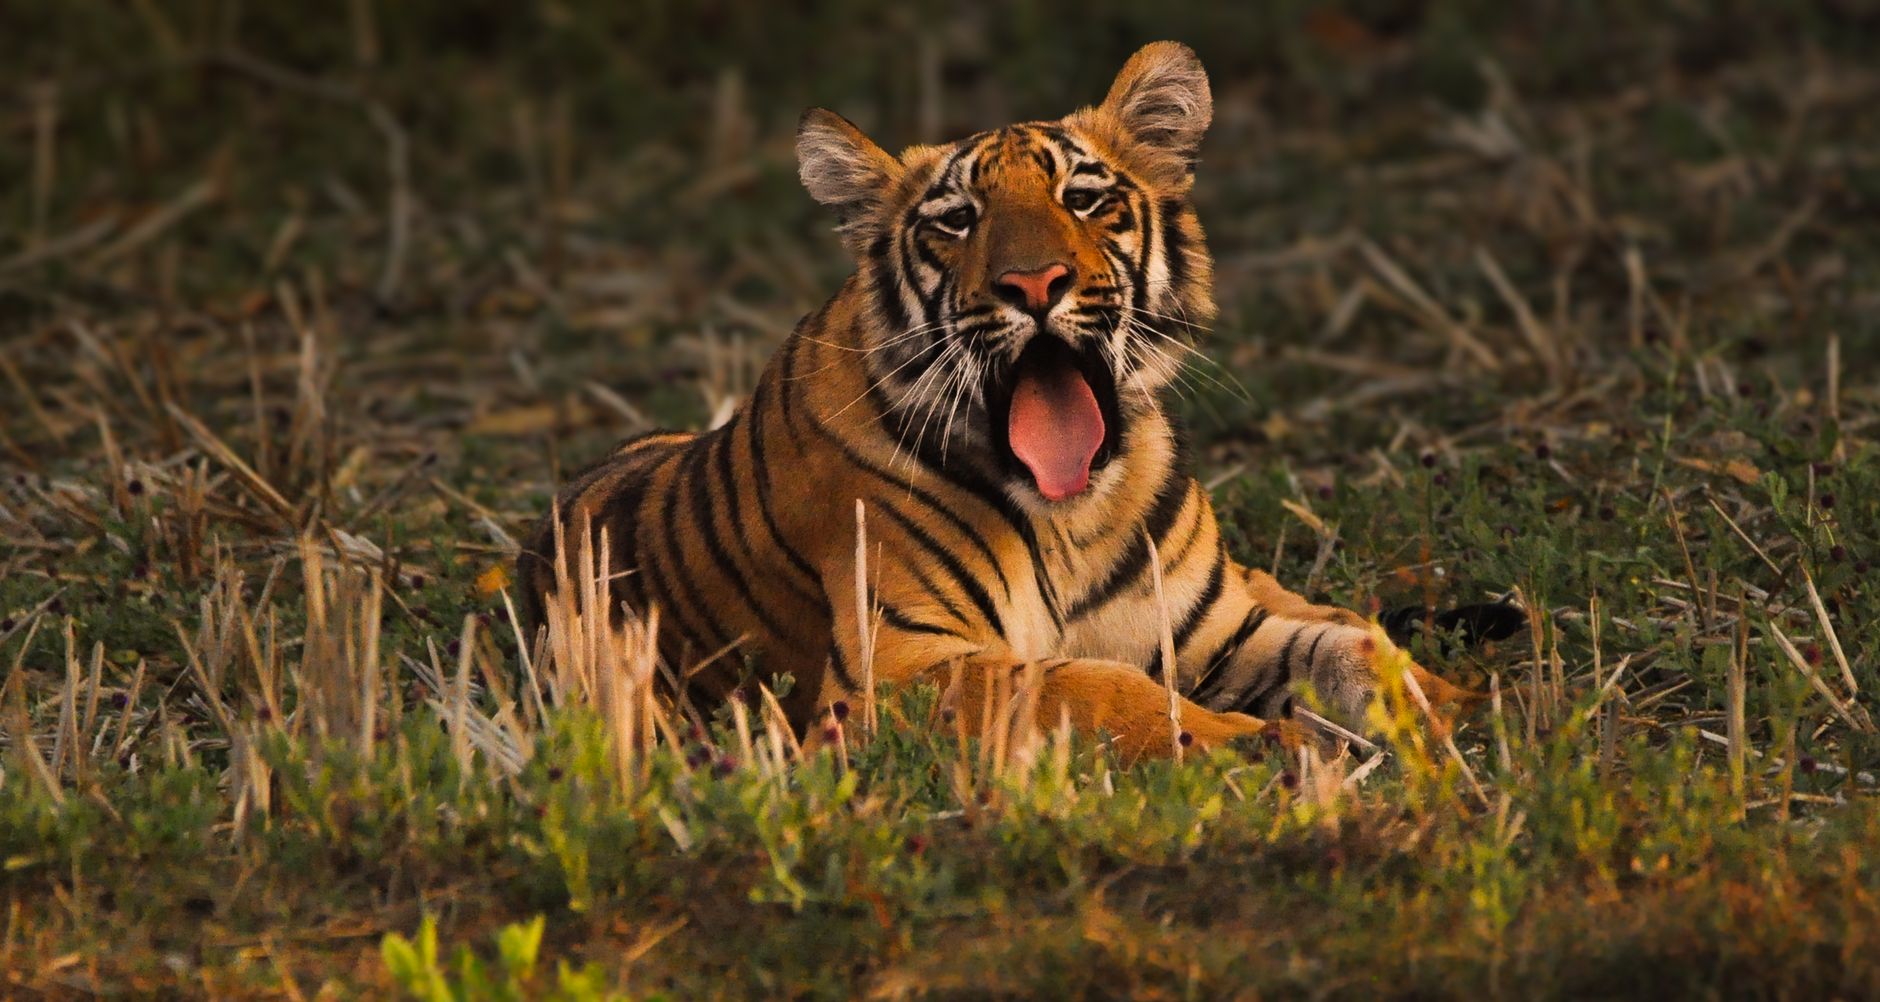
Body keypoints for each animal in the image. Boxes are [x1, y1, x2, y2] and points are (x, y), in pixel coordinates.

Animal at [518, 42, 1519, 760]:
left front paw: (1458, 711)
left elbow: (1354, 650)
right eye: (957, 219)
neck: (1078, 512)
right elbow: (1090, 685)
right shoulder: (899, 668)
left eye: (1084, 198)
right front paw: (1258, 743)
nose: (1033, 284)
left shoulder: (1221, 628)